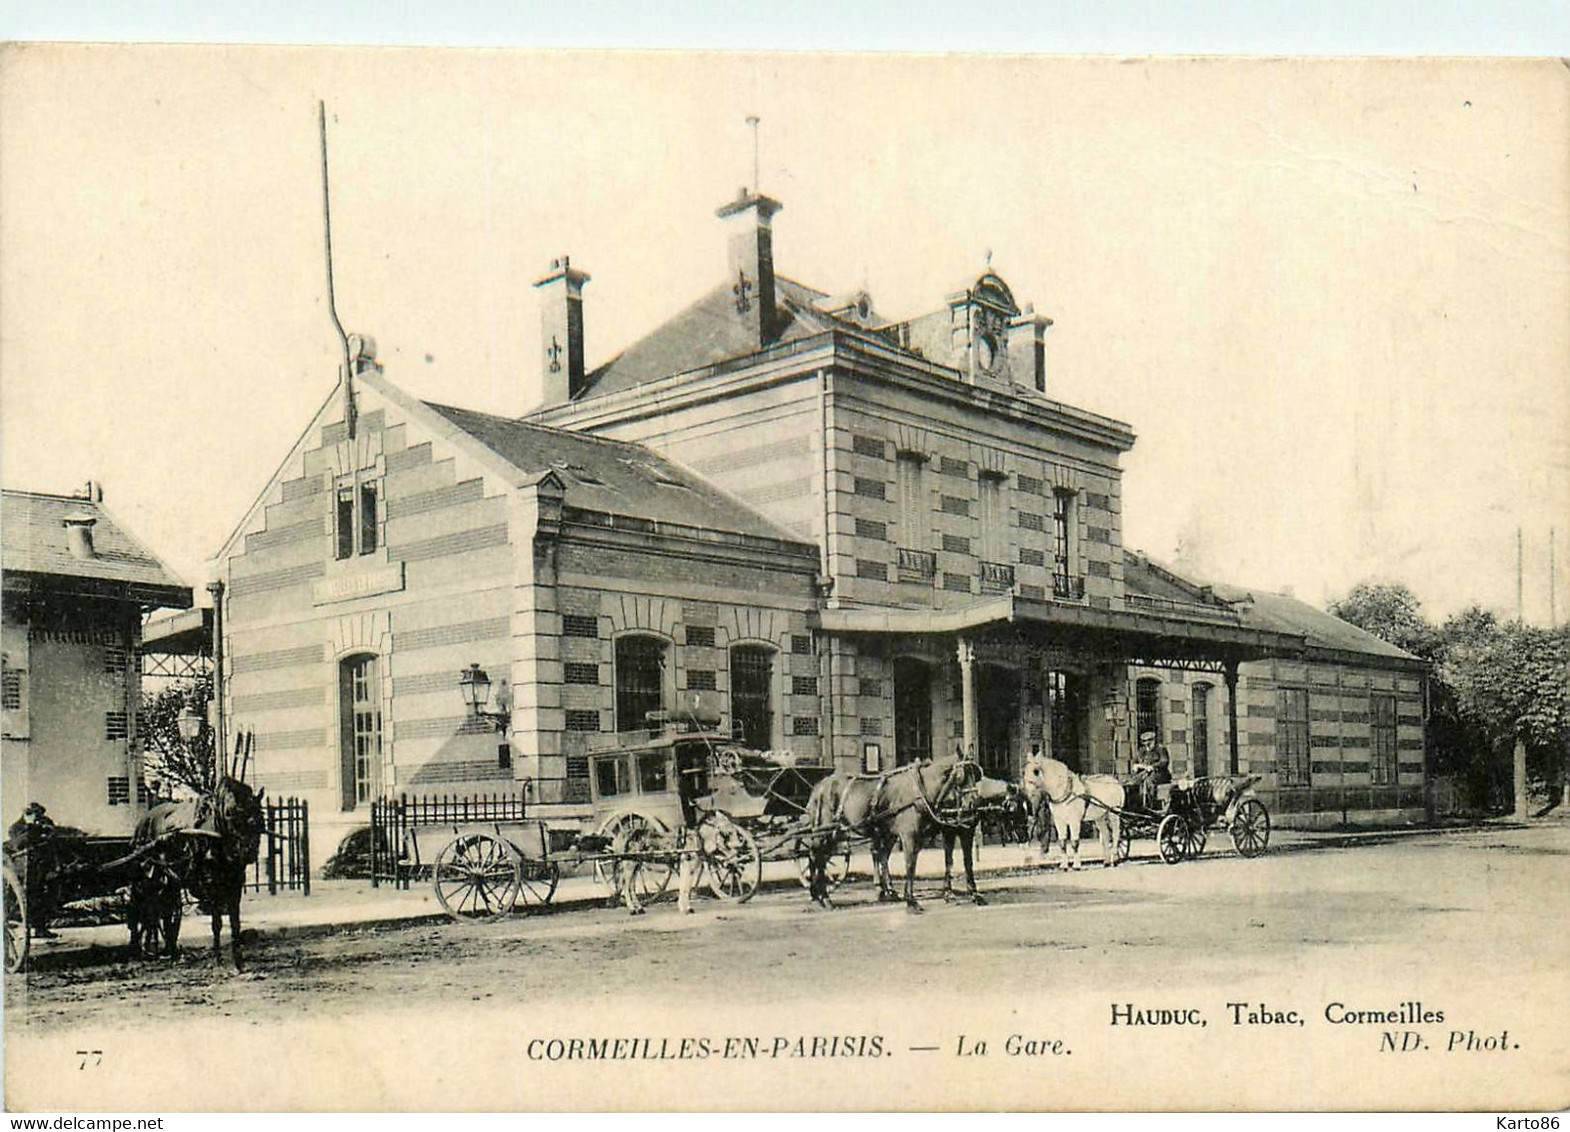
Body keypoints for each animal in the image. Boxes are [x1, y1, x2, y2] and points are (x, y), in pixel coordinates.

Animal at [128, 778, 263, 973]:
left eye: (260, 814)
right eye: (230, 814)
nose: (249, 852)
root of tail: (142, 821)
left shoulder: (235, 886)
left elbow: (235, 923)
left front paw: (239, 962)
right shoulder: (212, 886)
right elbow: (217, 924)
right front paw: (218, 960)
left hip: (170, 882)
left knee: (165, 914)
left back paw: (172, 954)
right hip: (146, 880)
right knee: (140, 910)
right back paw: (137, 951)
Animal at [810, 747, 1004, 916]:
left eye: (976, 774)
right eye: (960, 775)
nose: (972, 803)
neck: (921, 790)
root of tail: (820, 785)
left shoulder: (960, 830)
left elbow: (963, 862)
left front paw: (972, 894)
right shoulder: (914, 835)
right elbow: (911, 865)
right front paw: (912, 901)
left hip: (858, 833)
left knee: (875, 856)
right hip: (826, 832)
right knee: (819, 857)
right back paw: (824, 897)